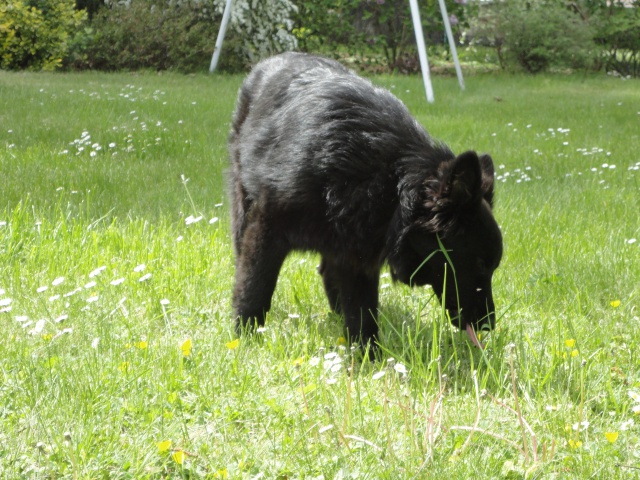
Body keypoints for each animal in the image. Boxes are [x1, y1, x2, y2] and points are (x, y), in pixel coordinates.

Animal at [228, 52, 502, 346]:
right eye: (480, 265)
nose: (489, 325)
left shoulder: (357, 253)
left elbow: (362, 315)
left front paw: (367, 354)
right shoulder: (266, 229)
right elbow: (255, 287)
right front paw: (244, 338)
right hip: (242, 207)